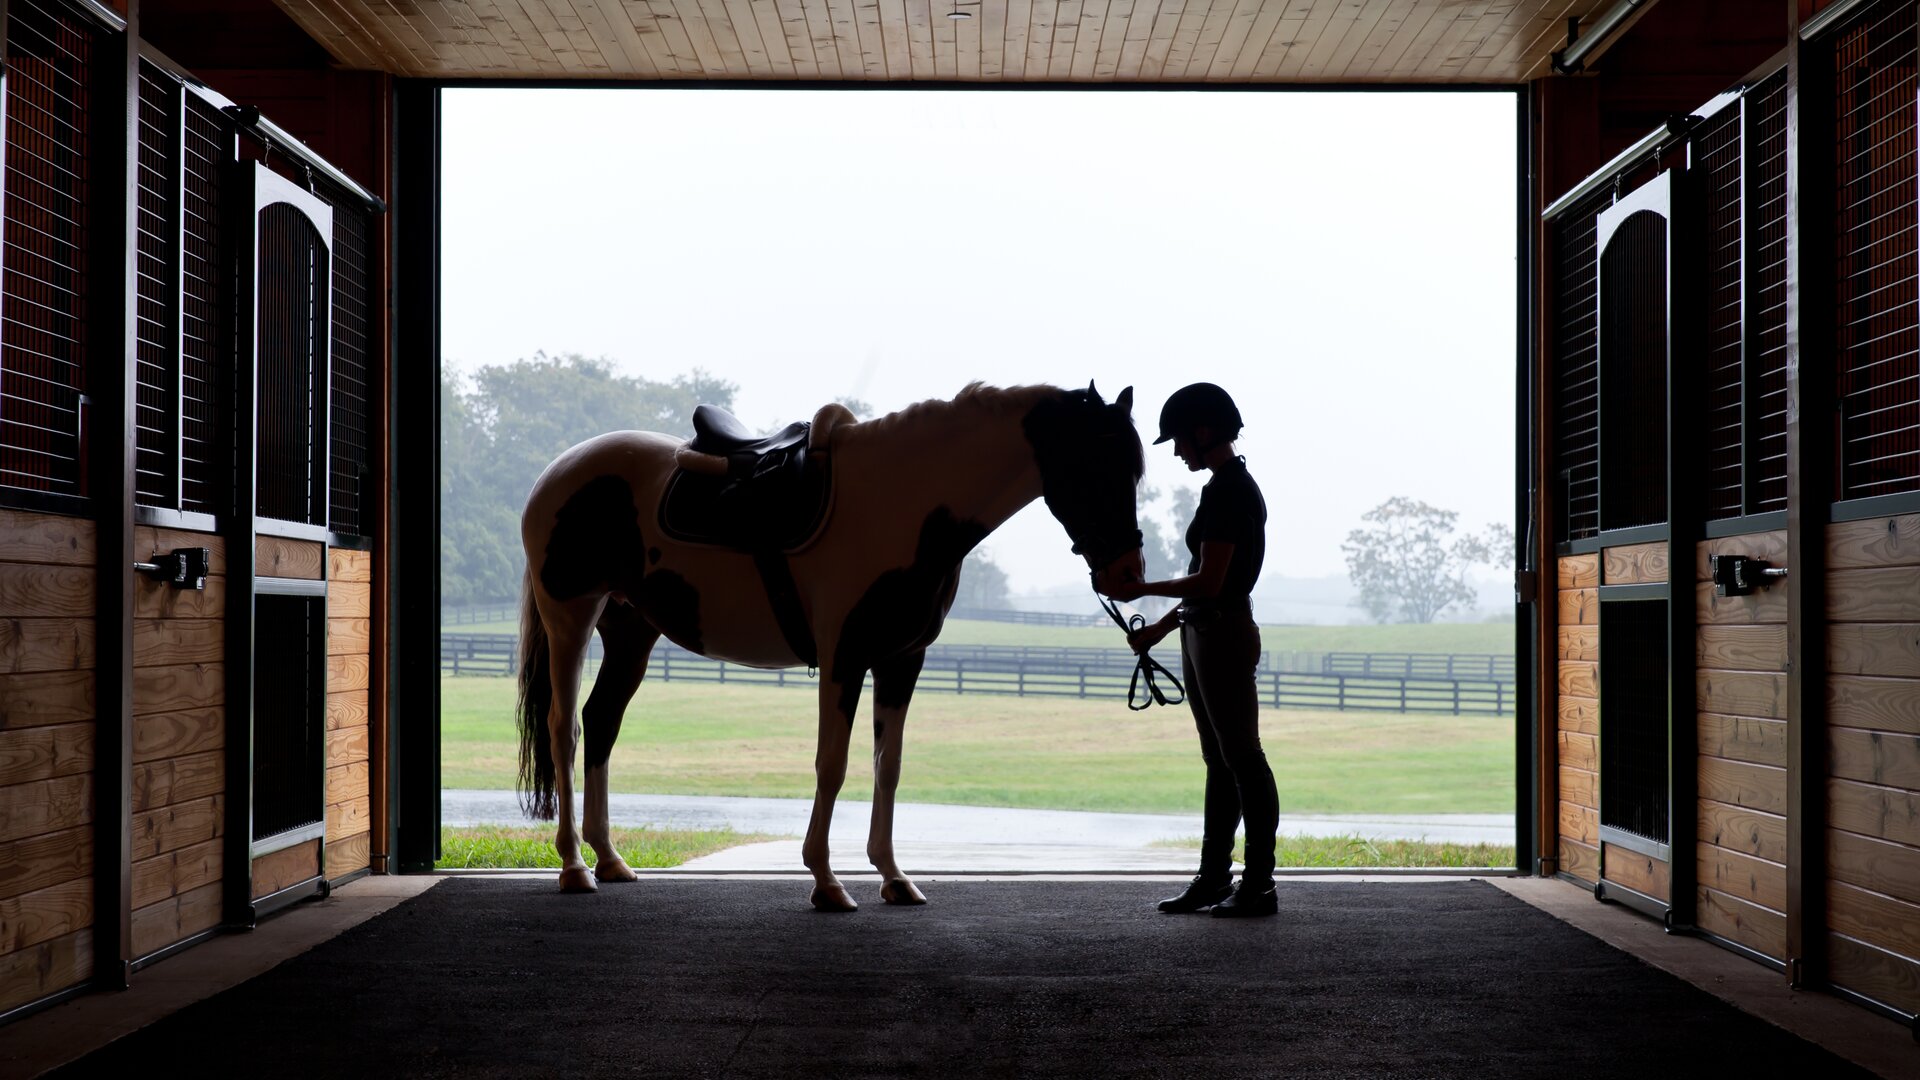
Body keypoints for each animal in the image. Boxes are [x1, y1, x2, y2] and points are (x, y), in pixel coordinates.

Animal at [514, 382, 1136, 903]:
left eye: (1132, 469)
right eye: (1095, 465)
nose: (1127, 574)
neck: (901, 501)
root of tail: (560, 471)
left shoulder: (902, 660)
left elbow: (889, 765)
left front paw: (893, 877)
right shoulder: (845, 657)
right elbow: (832, 764)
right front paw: (826, 880)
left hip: (631, 632)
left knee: (601, 722)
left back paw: (610, 859)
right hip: (570, 620)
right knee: (564, 730)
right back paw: (574, 867)